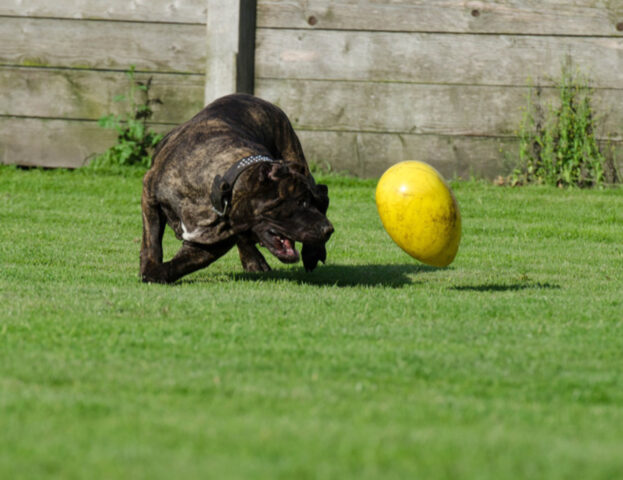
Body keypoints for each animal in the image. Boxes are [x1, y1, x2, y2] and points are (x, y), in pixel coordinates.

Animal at [139, 92, 334, 284]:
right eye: (301, 202)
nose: (329, 229)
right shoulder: (150, 194)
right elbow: (152, 239)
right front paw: (150, 267)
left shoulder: (213, 242)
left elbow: (182, 263)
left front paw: (156, 273)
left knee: (322, 194)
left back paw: (310, 253)